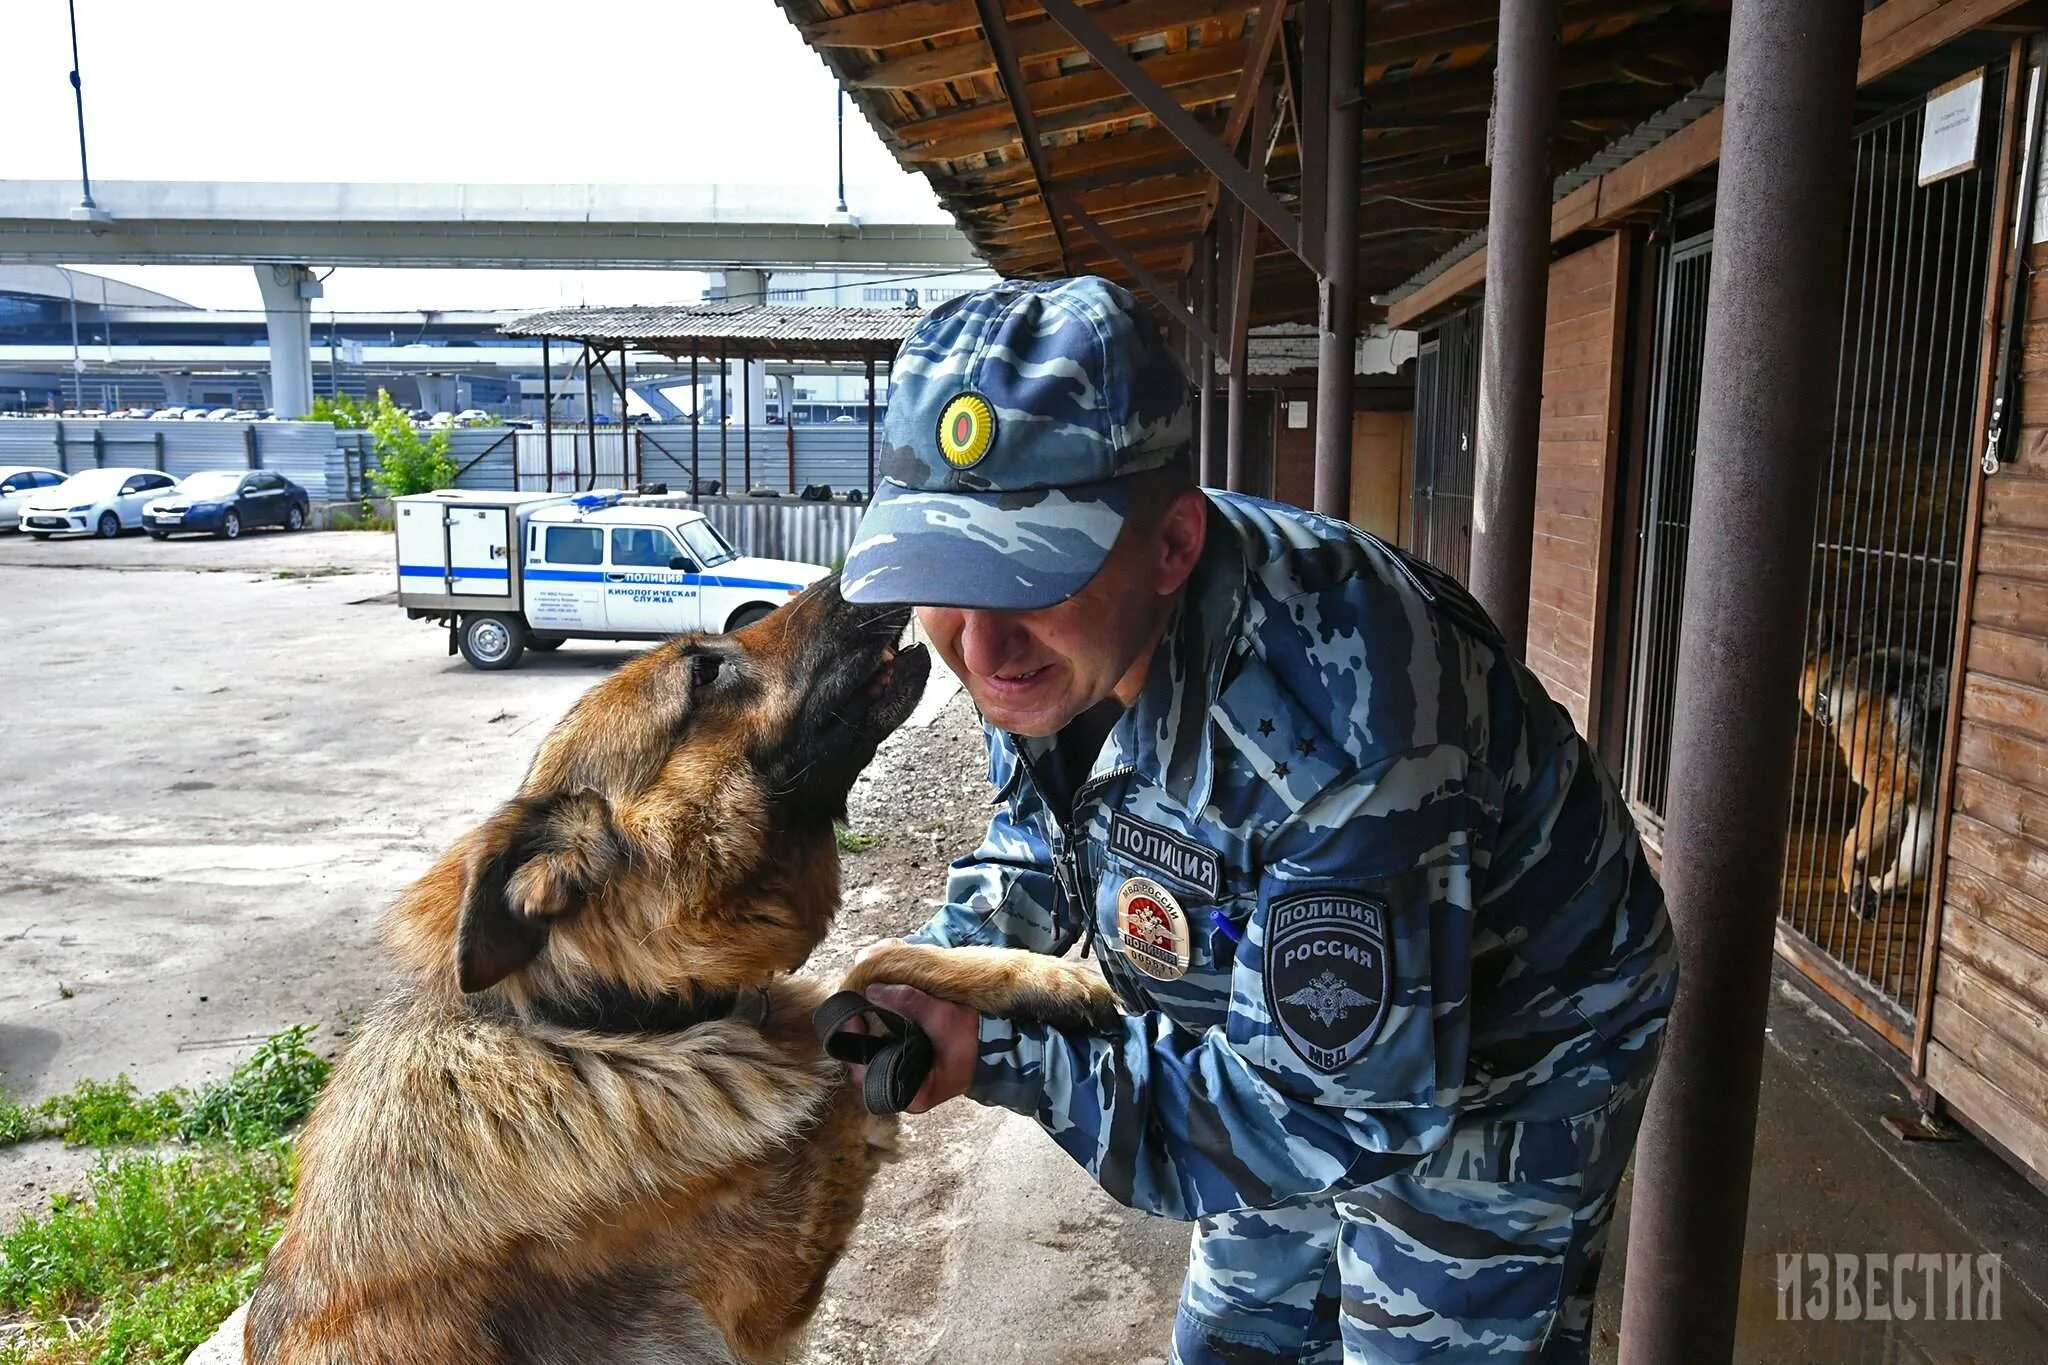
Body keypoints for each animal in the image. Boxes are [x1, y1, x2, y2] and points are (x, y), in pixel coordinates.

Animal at [256, 581, 1130, 1365]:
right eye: (704, 673)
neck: (612, 1018)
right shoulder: (772, 1282)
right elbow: (855, 977)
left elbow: (874, 959)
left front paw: (1048, 980)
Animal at [1794, 626, 1949, 925]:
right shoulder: (1925, 800)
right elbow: (1911, 862)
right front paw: (1880, 887)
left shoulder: (1891, 787)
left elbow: (1850, 845)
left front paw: (1857, 889)